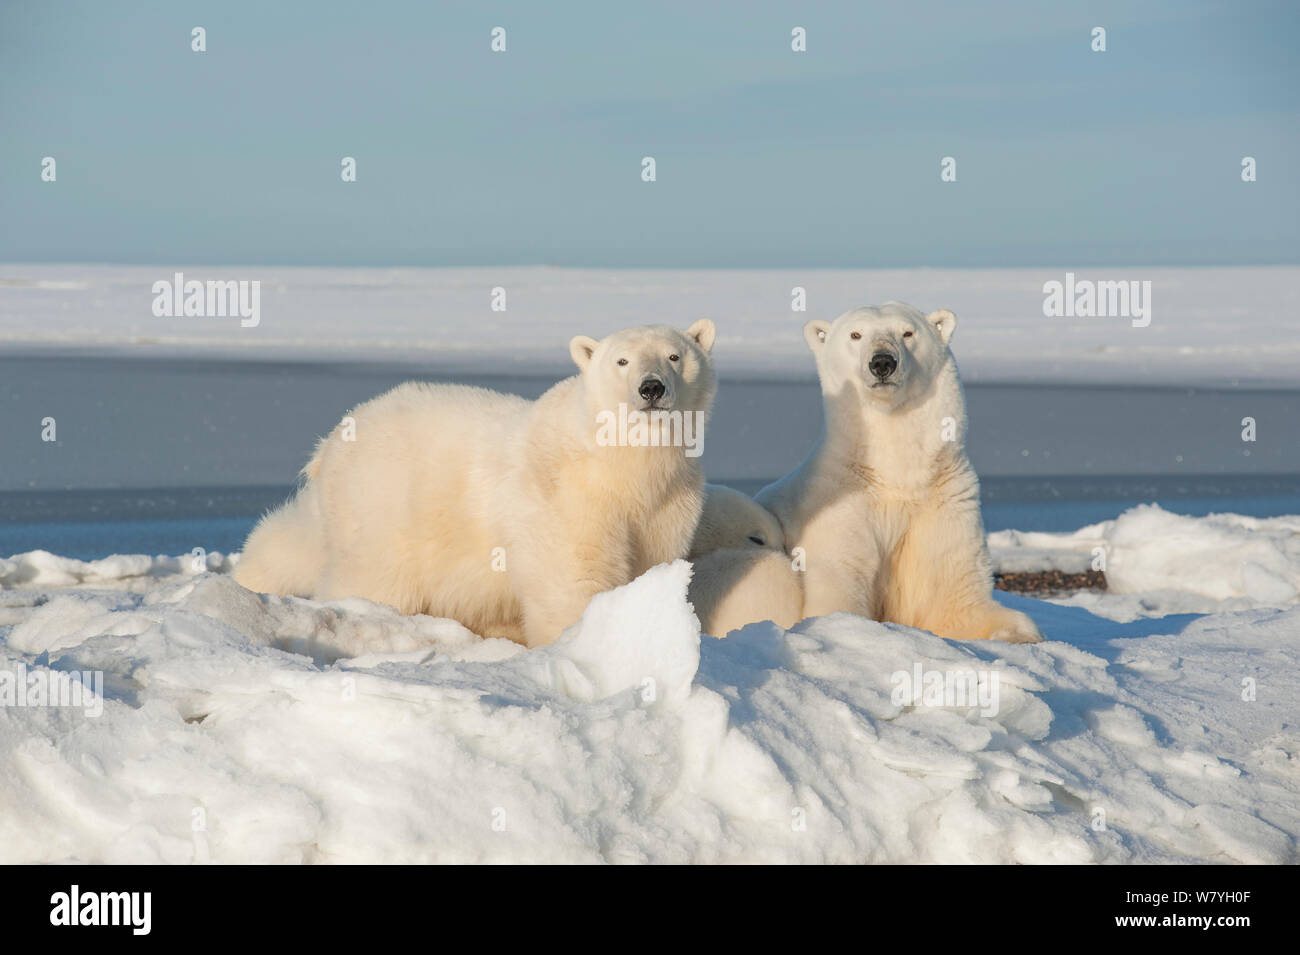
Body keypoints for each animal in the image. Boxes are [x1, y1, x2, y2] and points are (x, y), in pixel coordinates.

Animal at [235, 323, 722, 649]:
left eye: (675, 356)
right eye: (621, 361)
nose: (651, 388)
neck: (623, 465)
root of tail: (333, 442)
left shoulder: (668, 506)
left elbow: (650, 566)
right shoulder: (566, 498)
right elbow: (573, 578)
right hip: (383, 511)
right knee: (368, 578)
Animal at [754, 302, 1045, 647]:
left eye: (908, 332)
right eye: (856, 334)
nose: (882, 362)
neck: (895, 475)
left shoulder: (944, 498)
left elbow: (953, 597)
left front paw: (1018, 633)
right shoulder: (840, 505)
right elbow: (839, 585)